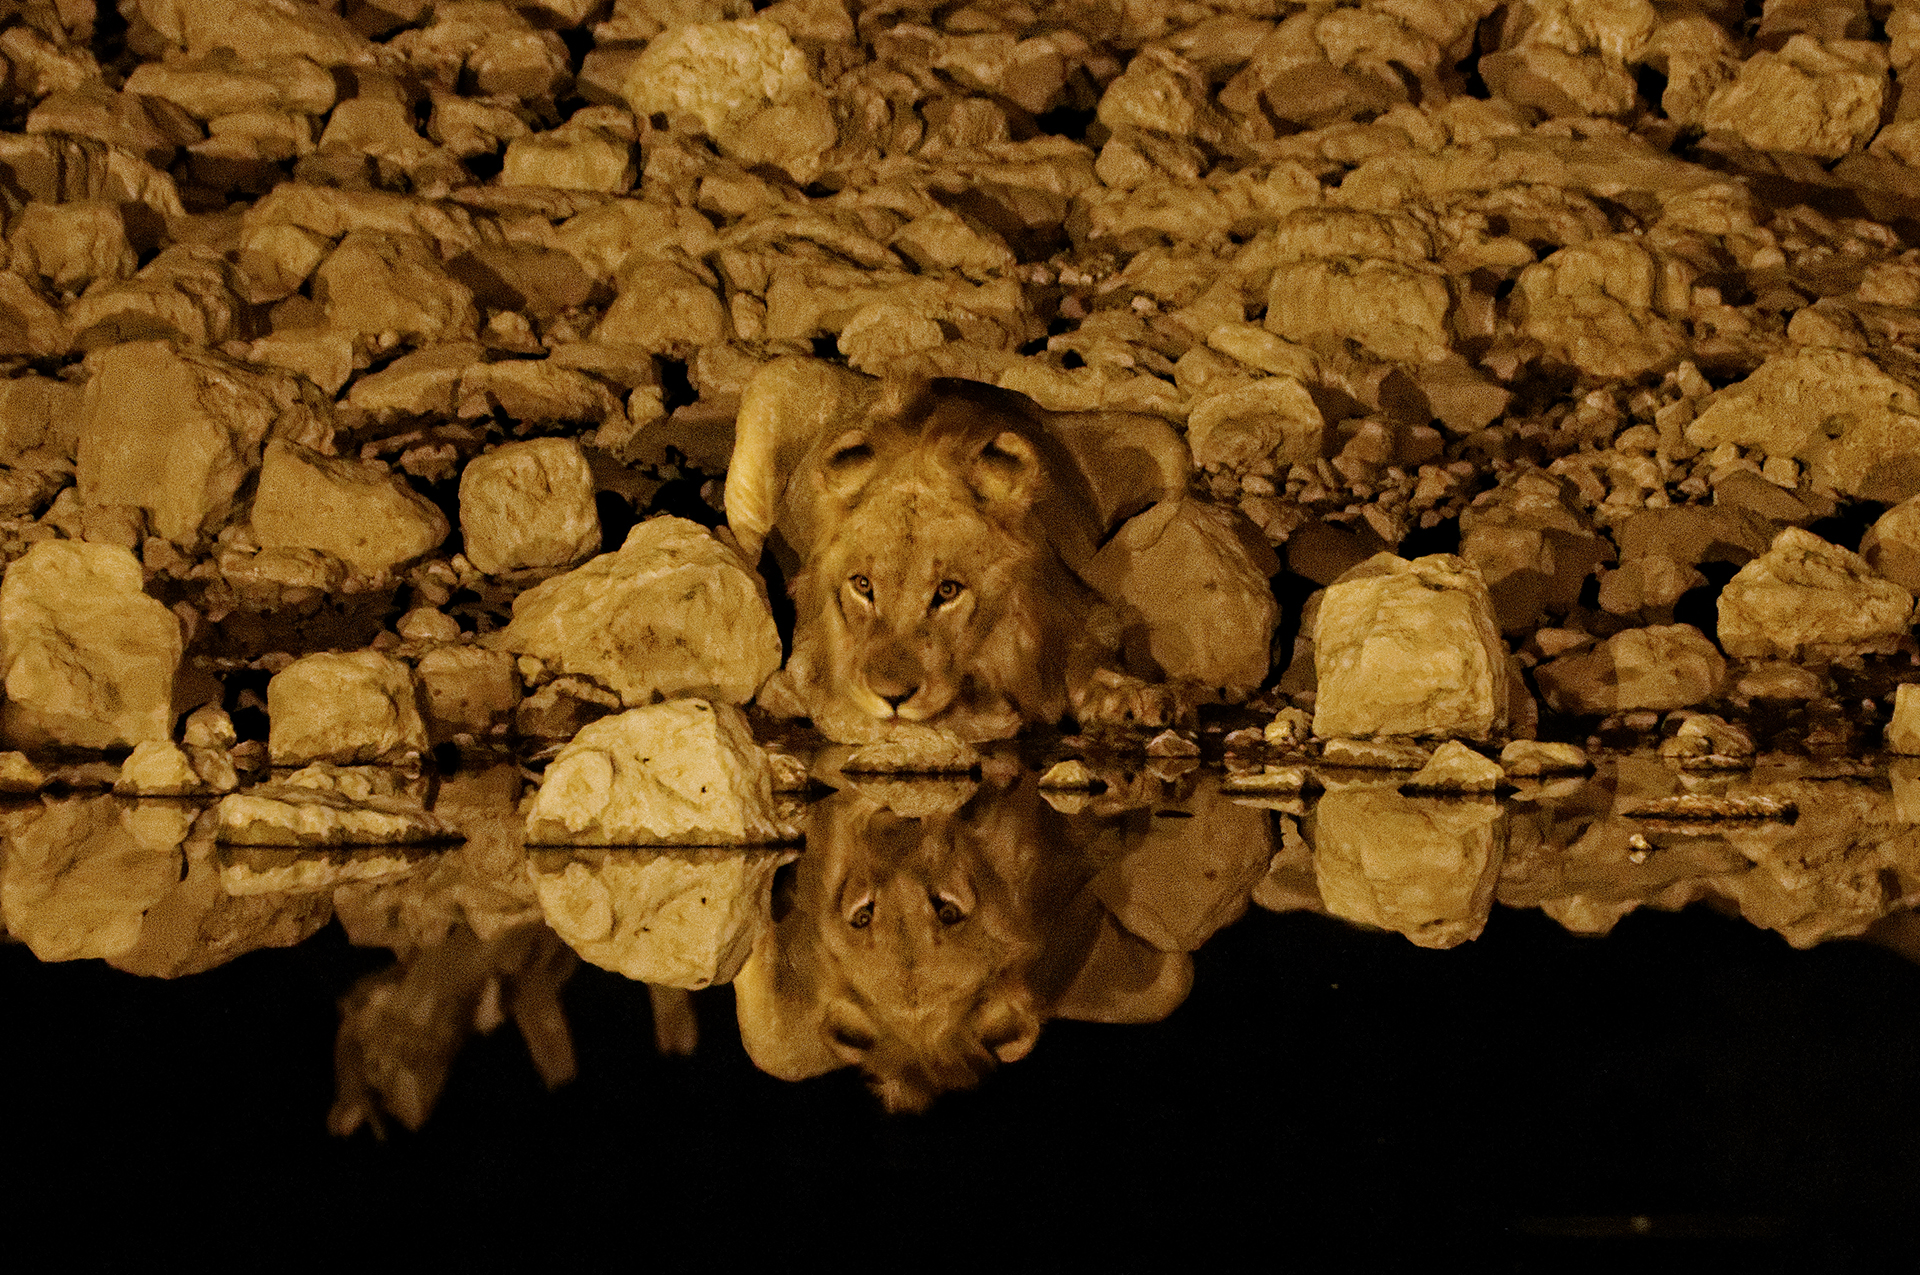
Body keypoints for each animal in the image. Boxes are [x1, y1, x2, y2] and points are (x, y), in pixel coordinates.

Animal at [724, 358, 1214, 743]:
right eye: (862, 585)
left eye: (947, 591)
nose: (893, 697)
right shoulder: (811, 650)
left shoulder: (1079, 609)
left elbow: (1091, 657)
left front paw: (1138, 698)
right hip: (776, 378)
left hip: (1159, 438)